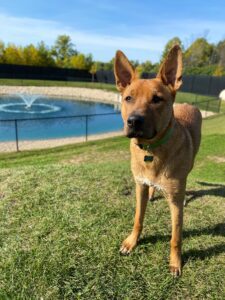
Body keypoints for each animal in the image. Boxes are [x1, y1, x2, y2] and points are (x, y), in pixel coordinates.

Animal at [114, 45, 202, 276]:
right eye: (128, 98)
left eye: (157, 99)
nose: (134, 121)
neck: (152, 150)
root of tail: (189, 104)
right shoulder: (140, 186)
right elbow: (138, 218)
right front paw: (132, 242)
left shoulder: (175, 202)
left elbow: (176, 237)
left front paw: (175, 262)